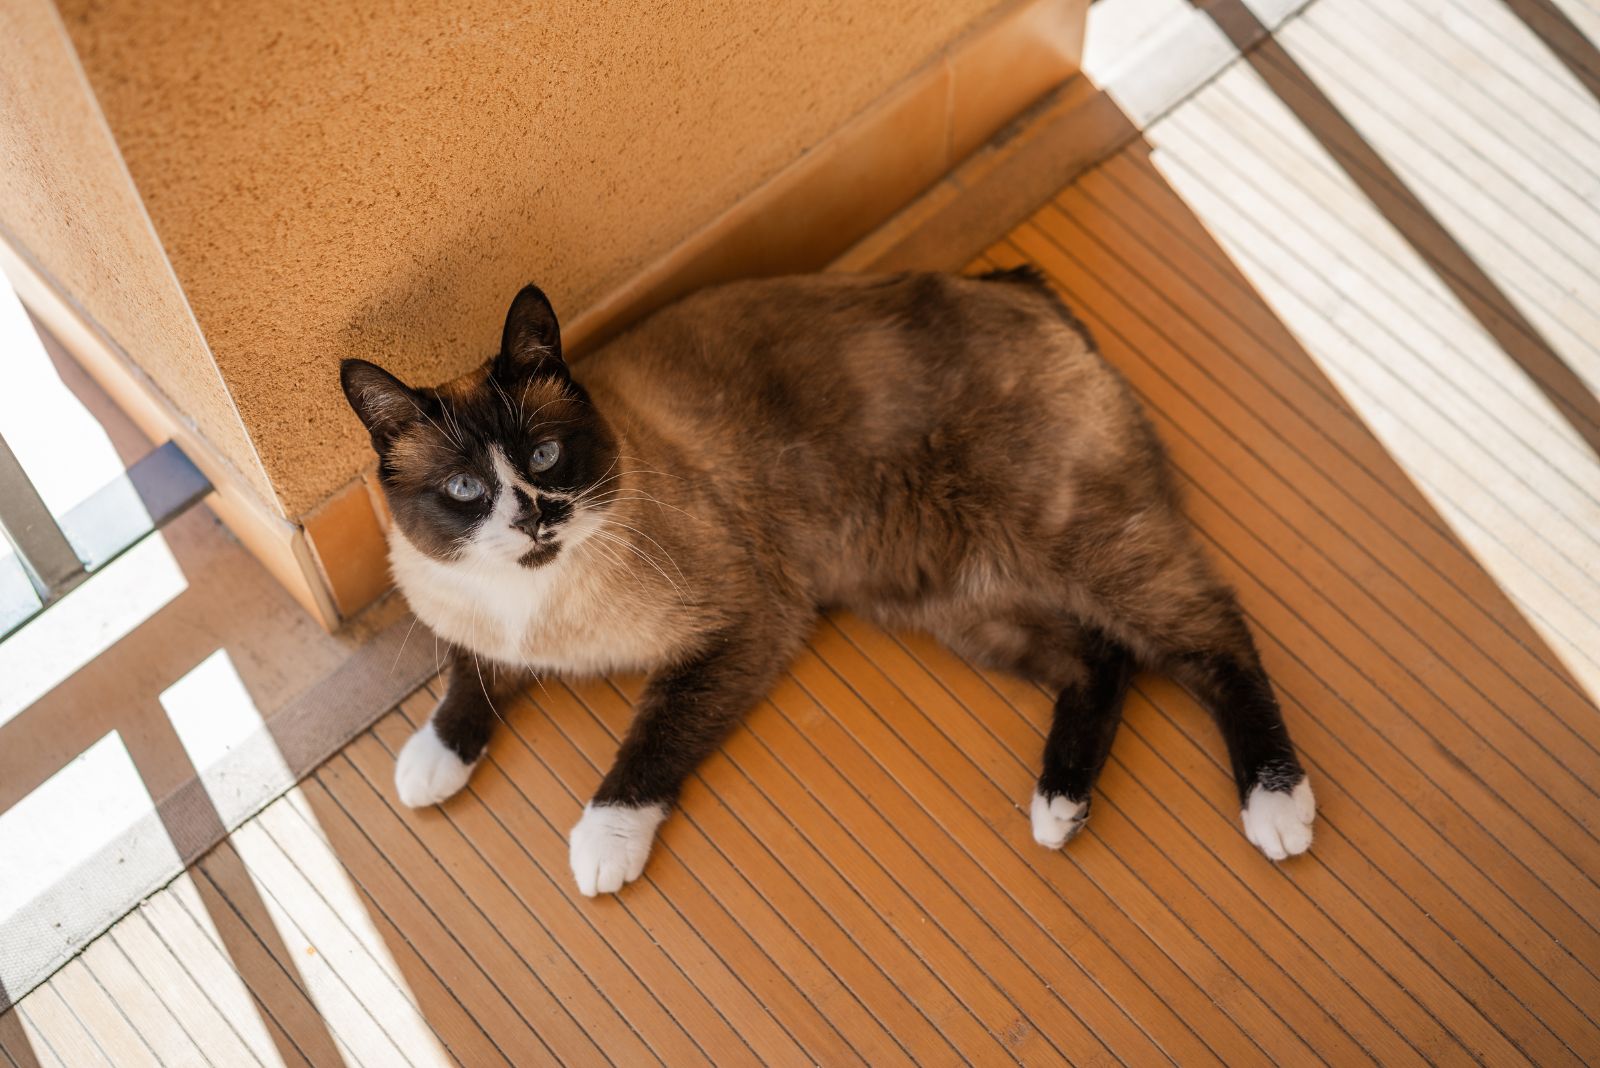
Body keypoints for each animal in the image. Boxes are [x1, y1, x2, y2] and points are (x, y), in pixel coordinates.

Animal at [337, 271, 1312, 895]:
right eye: (465, 491)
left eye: (543, 456)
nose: (535, 518)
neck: (536, 611)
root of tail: (1012, 286)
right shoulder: (475, 626)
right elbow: (467, 675)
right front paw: (434, 761)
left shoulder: (741, 624)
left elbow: (650, 742)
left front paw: (603, 843)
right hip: (957, 598)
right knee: (1101, 660)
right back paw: (1058, 806)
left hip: (1072, 545)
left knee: (1212, 636)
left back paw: (1276, 805)